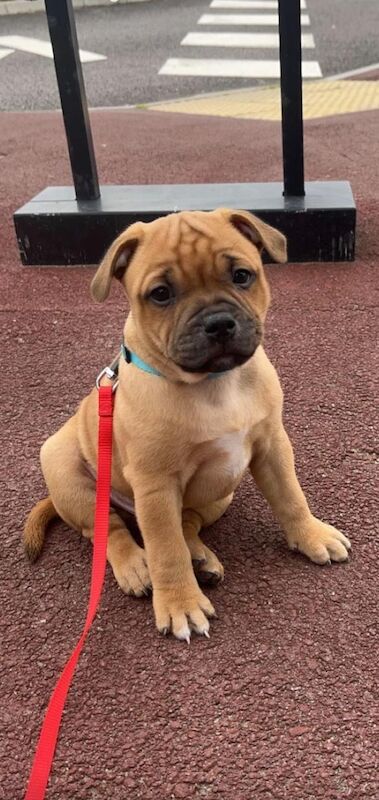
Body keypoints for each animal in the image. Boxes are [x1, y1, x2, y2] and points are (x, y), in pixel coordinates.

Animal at [23, 209, 350, 640]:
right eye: (161, 294)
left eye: (241, 275)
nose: (219, 323)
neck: (214, 383)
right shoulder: (156, 484)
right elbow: (166, 550)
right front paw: (180, 603)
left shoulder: (273, 446)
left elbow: (291, 497)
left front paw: (312, 535)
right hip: (67, 472)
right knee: (108, 530)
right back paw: (135, 566)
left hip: (220, 493)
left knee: (187, 523)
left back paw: (200, 557)